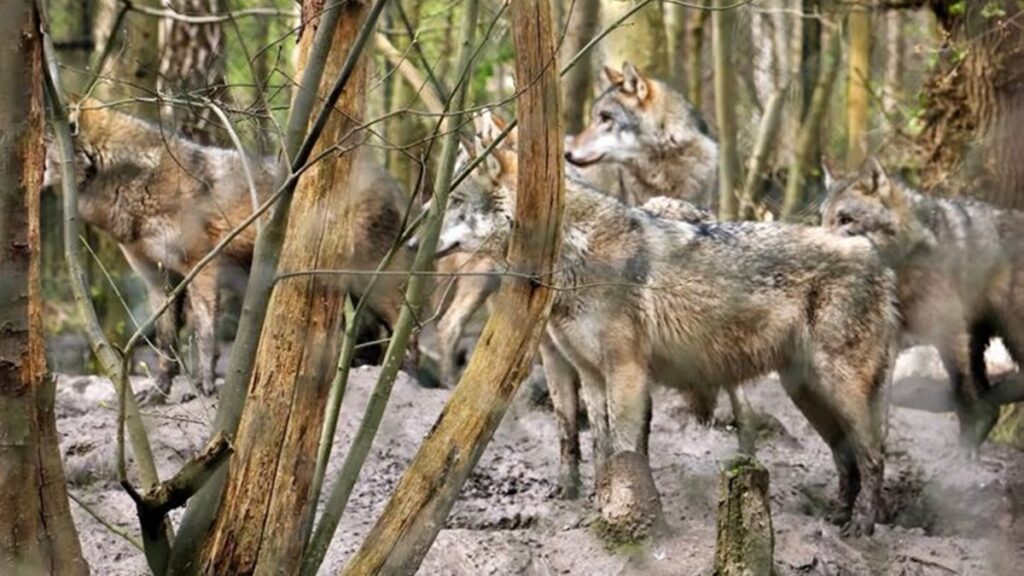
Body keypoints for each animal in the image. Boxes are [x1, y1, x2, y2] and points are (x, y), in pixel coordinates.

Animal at [44, 99, 413, 400]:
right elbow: (166, 343)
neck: (139, 185)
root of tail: (393, 183)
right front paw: (160, 391)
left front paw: (205, 386)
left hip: (374, 283)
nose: (32, 175)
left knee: (405, 330)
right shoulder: (159, 282)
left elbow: (205, 334)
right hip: (350, 288)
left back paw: (397, 380)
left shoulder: (202, 268)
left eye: (44, 152)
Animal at [435, 161, 899, 535]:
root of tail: (877, 259)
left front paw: (623, 511)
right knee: (847, 458)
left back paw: (862, 527)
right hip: (807, 395)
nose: (421, 237)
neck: (573, 250)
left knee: (874, 456)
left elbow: (624, 445)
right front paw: (600, 501)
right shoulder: (591, 374)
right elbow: (600, 445)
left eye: (455, 200)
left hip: (838, 390)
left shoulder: (626, 370)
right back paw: (838, 517)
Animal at [821, 159, 1024, 449]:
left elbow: (962, 394)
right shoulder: (891, 339)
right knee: (992, 406)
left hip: (1011, 335)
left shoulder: (948, 330)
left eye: (845, 219)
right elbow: (880, 403)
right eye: (823, 219)